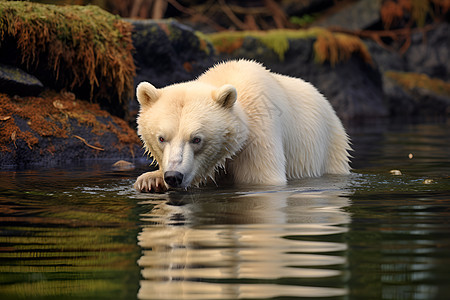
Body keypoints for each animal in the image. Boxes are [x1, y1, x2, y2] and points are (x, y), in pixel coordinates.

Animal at [134, 60, 352, 193]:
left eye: (196, 139)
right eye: (161, 138)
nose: (173, 176)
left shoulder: (258, 137)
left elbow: (263, 178)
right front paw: (150, 180)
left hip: (330, 147)